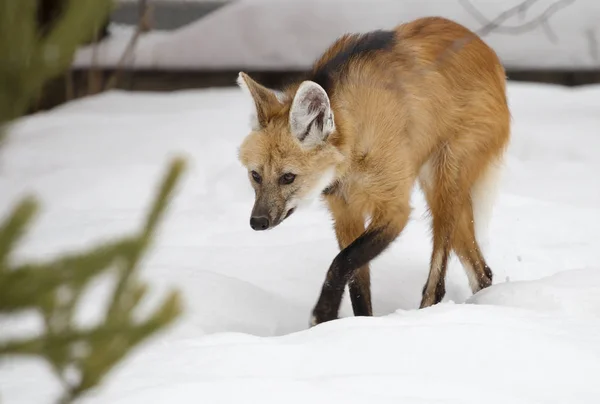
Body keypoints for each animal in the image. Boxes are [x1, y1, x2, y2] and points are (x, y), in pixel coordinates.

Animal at [237, 15, 508, 326]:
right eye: (255, 176)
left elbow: (342, 261)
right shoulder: (345, 212)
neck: (353, 154)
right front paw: (357, 326)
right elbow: (357, 284)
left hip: (444, 180)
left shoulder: (395, 209)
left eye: (288, 177)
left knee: (437, 283)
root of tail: (486, 50)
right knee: (482, 272)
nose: (257, 222)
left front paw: (324, 315)